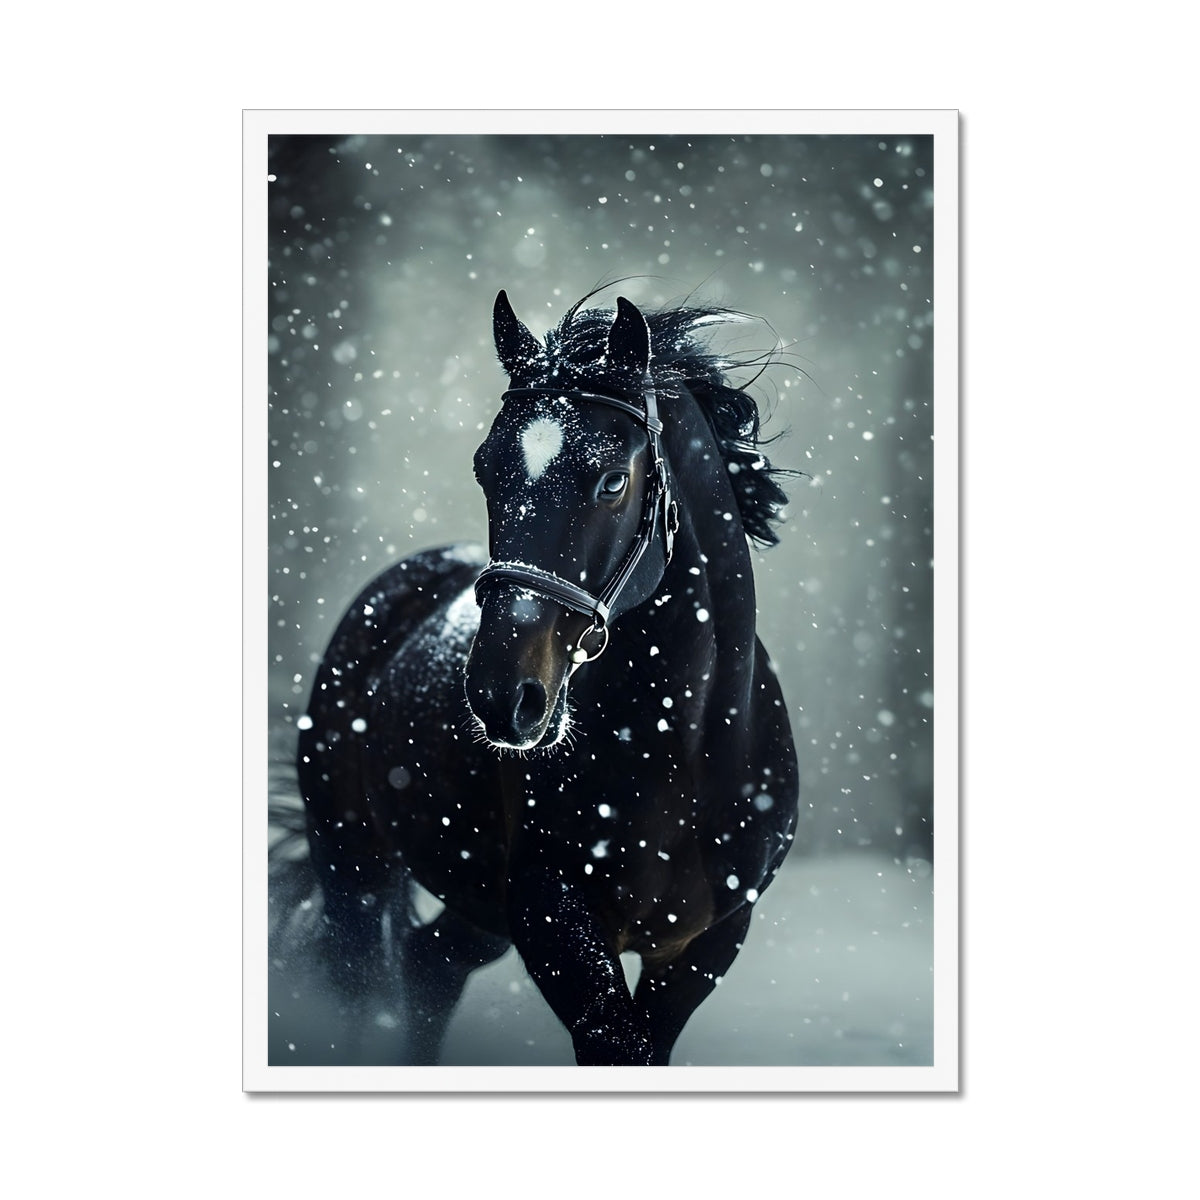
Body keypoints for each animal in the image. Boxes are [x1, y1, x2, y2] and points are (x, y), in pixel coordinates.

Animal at [293, 287, 799, 1066]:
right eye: (485, 469)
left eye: (613, 478)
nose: (501, 697)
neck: (681, 751)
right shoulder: (551, 918)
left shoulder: (705, 945)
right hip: (353, 864)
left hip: (472, 905)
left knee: (430, 964)